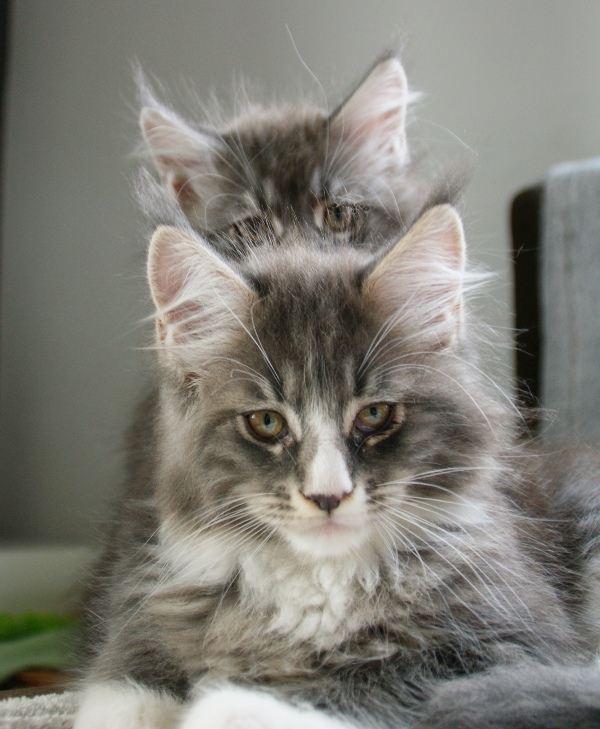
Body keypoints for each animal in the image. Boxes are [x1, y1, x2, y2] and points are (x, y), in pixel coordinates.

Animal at [74, 202, 600, 729]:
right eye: (266, 422)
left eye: (374, 415)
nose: (328, 495)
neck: (320, 578)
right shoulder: (154, 600)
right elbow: (122, 681)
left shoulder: (512, 639)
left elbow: (370, 685)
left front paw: (230, 705)